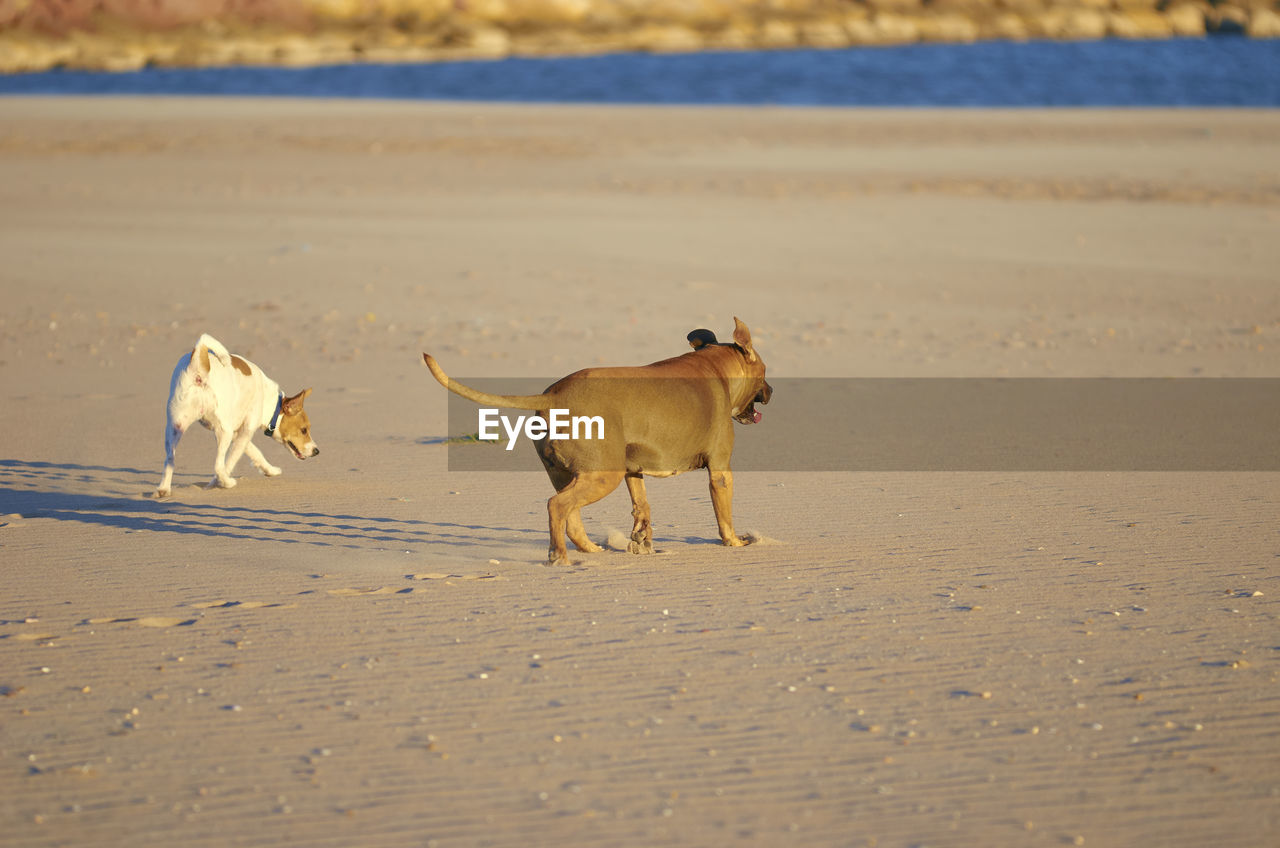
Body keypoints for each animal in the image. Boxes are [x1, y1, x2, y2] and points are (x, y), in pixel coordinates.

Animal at [152, 335, 320, 502]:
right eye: (304, 430)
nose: (316, 451)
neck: (271, 401)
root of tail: (199, 368)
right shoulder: (245, 431)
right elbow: (230, 462)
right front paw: (215, 484)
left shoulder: (238, 433)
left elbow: (255, 452)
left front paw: (270, 470)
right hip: (222, 431)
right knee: (218, 465)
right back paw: (228, 483)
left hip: (175, 427)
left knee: (169, 459)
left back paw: (163, 490)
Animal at [427, 318, 768, 563]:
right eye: (765, 372)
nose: (772, 391)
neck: (716, 367)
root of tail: (553, 396)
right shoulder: (720, 470)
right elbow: (724, 514)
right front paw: (735, 542)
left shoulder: (633, 469)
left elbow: (641, 506)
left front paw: (642, 540)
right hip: (603, 476)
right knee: (556, 507)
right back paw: (559, 556)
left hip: (573, 474)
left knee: (571, 515)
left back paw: (588, 549)